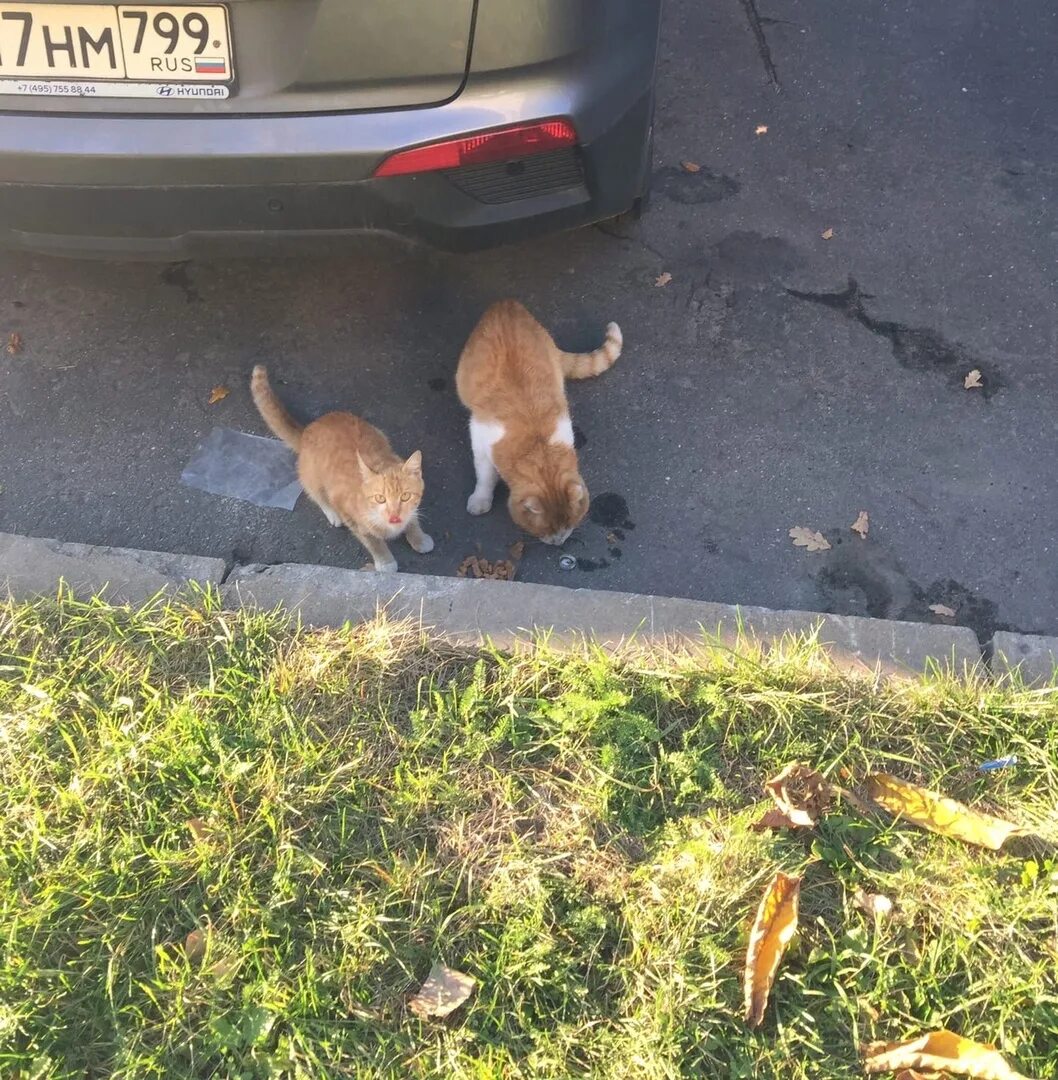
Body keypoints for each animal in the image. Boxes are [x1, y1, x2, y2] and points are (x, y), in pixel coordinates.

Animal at [250, 367, 431, 574]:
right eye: (380, 498)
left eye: (405, 496)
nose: (394, 516)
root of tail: (309, 429)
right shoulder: (351, 516)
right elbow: (373, 542)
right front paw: (385, 562)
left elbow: (413, 518)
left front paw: (418, 537)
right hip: (312, 476)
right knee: (315, 493)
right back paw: (331, 512)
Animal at [455, 300, 621, 544]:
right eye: (546, 530)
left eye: (569, 524)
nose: (559, 542)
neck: (538, 444)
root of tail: (506, 303)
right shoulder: (480, 437)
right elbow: (484, 475)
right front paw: (481, 499)